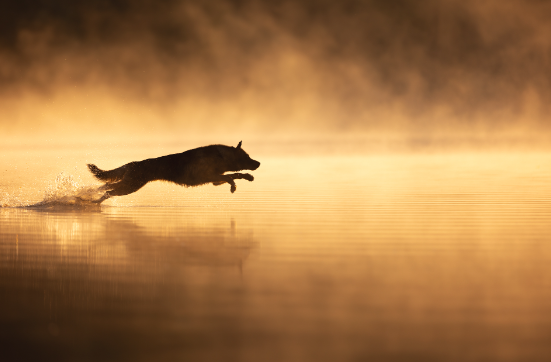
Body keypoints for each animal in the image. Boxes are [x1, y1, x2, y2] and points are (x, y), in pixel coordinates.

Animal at [86, 141, 260, 204]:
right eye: (246, 157)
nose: (258, 163)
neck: (221, 156)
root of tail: (131, 164)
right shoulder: (211, 177)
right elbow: (231, 177)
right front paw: (233, 187)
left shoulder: (215, 180)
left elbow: (234, 175)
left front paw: (248, 177)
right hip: (130, 187)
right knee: (107, 191)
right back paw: (92, 201)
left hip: (128, 185)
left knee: (104, 186)